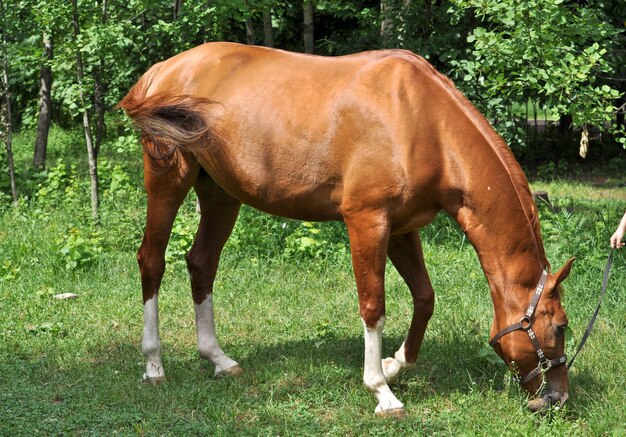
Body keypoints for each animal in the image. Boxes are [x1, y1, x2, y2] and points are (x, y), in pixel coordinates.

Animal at [117, 41, 572, 416]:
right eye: (560, 326)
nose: (556, 398)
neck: (422, 122)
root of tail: (164, 69)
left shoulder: (402, 229)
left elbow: (425, 298)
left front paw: (393, 365)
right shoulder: (367, 222)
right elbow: (373, 307)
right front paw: (382, 391)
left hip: (220, 195)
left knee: (202, 263)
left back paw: (218, 359)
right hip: (167, 179)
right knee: (151, 260)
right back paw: (154, 364)